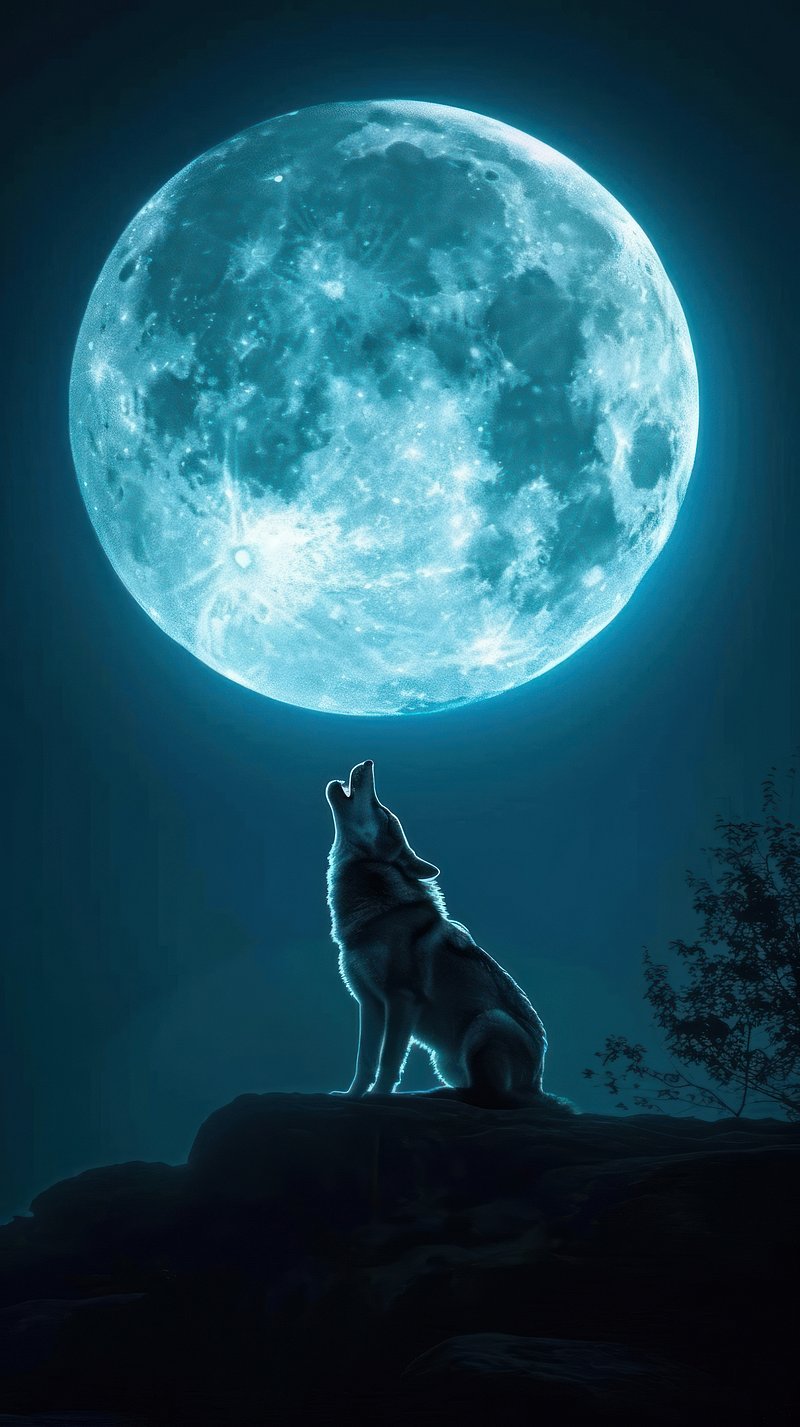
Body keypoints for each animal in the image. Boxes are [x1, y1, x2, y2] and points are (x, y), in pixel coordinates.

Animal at [326, 760, 551, 1106]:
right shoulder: (370, 1004)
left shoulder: (401, 1001)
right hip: (445, 1059)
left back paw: (431, 1094)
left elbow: (389, 1060)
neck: (377, 913)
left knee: (486, 1096)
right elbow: (364, 1061)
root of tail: (537, 1085)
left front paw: (378, 1096)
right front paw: (352, 1096)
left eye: (384, 814)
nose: (368, 763)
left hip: (487, 1022)